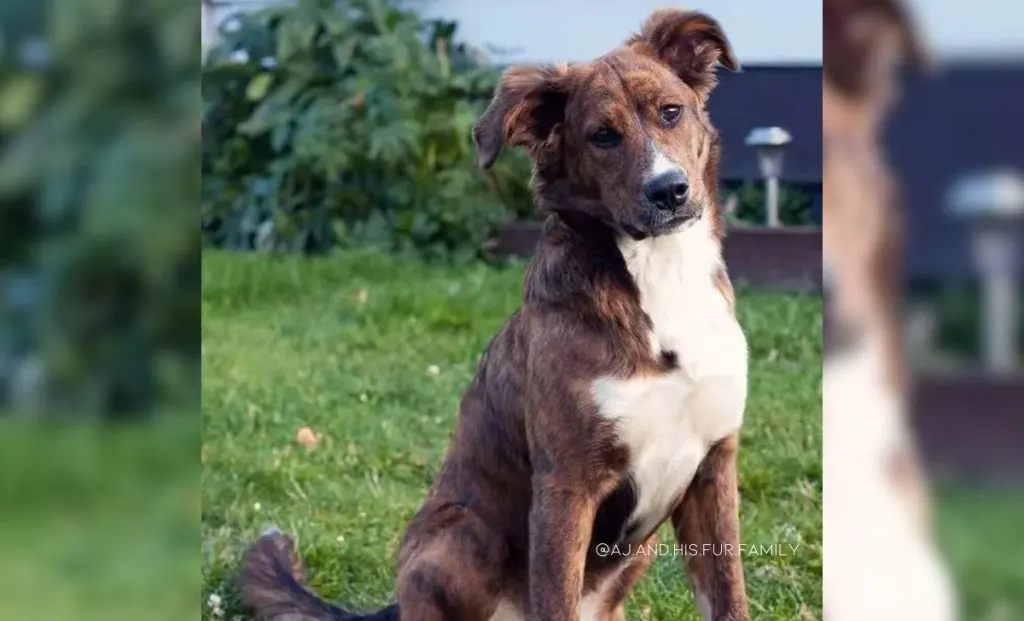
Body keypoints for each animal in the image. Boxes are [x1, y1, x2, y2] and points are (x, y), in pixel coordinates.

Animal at [242, 9, 749, 621]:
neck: (658, 279)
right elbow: (555, 598)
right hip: (463, 533)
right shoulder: (567, 484)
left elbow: (730, 596)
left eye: (670, 111)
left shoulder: (713, 469)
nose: (669, 191)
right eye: (601, 136)